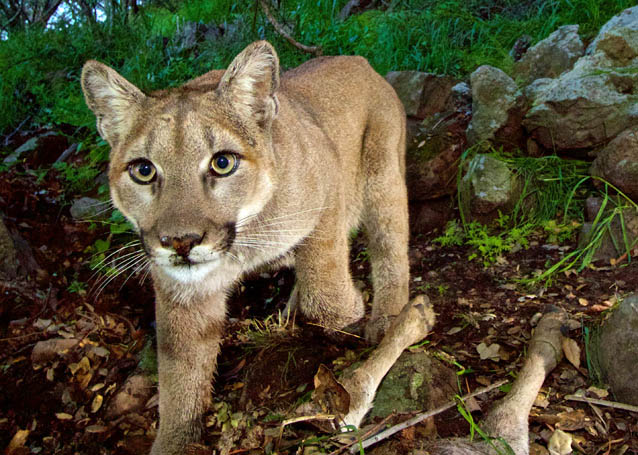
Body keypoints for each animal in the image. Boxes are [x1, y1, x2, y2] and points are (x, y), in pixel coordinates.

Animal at [81, 41, 410, 454]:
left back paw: (387, 317)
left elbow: (325, 292)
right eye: (143, 170)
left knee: (391, 247)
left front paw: (347, 317)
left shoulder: (327, 188)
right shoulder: (182, 291)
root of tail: (356, 59)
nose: (181, 241)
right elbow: (180, 373)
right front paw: (176, 441)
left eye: (222, 163)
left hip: (383, 177)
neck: (242, 243)